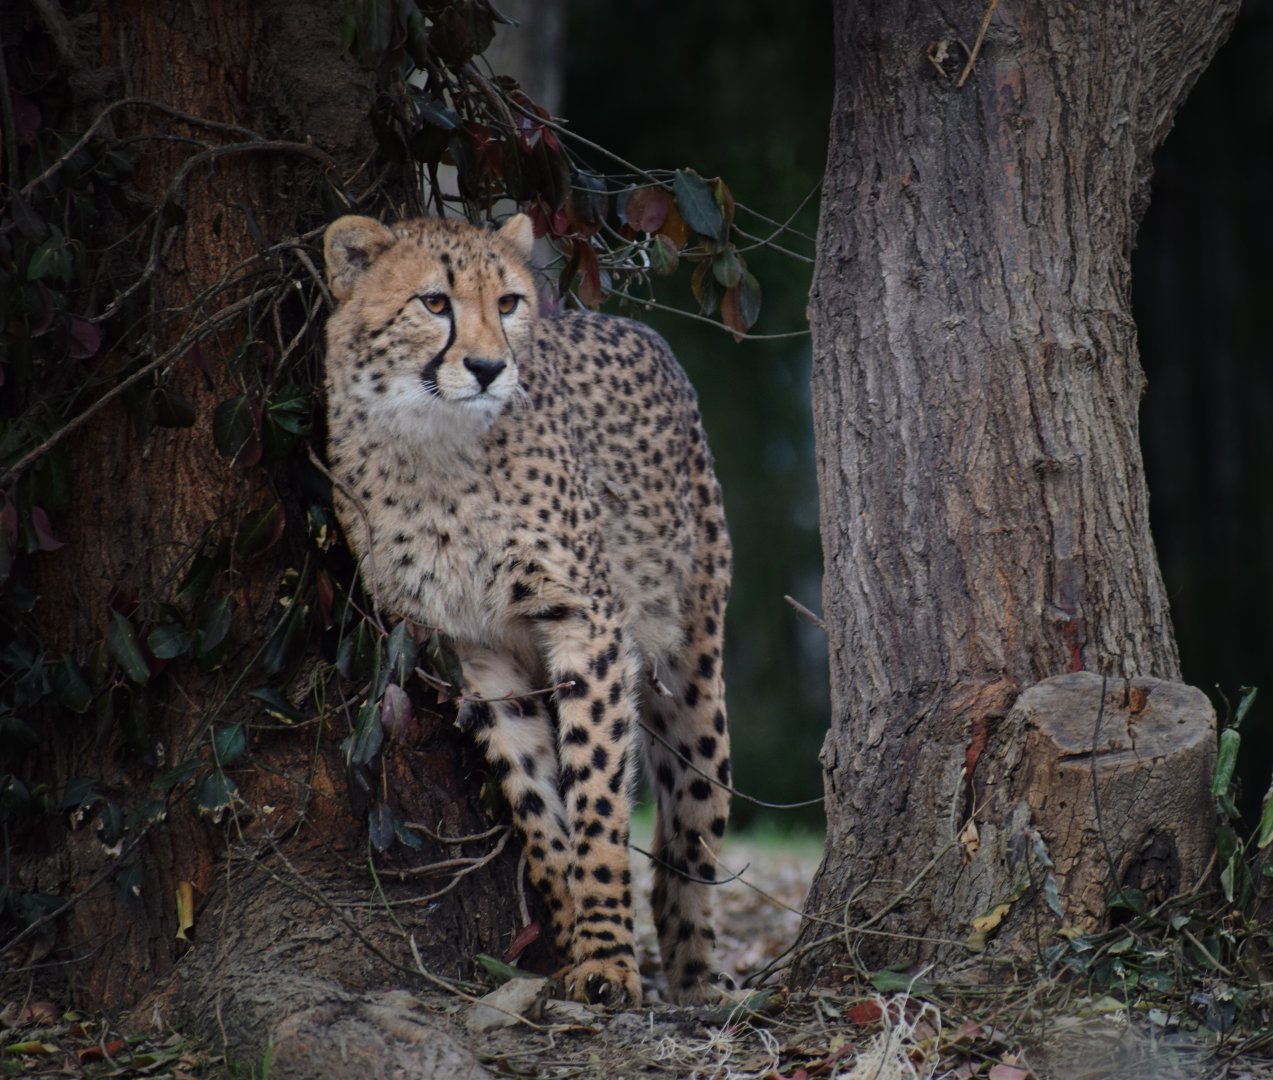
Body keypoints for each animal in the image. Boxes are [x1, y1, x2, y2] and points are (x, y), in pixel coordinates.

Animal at [322, 212, 732, 1006]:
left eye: (508, 302)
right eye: (435, 303)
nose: (488, 368)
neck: (435, 450)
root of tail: (640, 328)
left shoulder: (587, 625)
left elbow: (597, 794)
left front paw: (607, 957)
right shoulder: (467, 646)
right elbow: (538, 799)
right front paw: (573, 931)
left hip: (694, 663)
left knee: (693, 829)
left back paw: (699, 979)